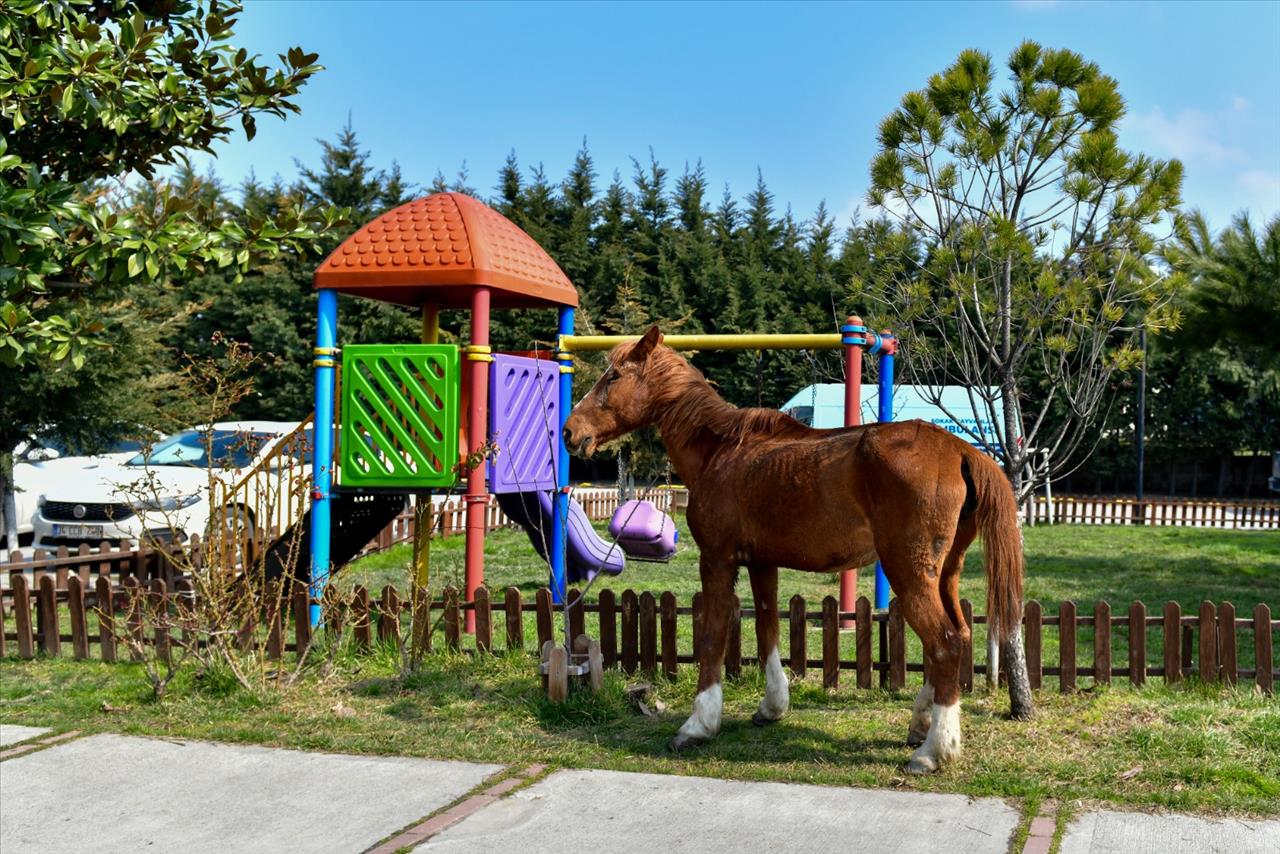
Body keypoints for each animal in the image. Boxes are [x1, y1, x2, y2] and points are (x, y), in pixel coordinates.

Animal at [565, 327, 1034, 773]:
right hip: (945, 573)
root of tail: (959, 449)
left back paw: (935, 749)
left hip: (910, 573)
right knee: (961, 633)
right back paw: (921, 723)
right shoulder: (762, 564)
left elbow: (714, 636)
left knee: (945, 643)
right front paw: (772, 706)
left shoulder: (716, 560)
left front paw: (698, 724)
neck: (722, 449)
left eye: (614, 376)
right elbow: (767, 627)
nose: (571, 432)